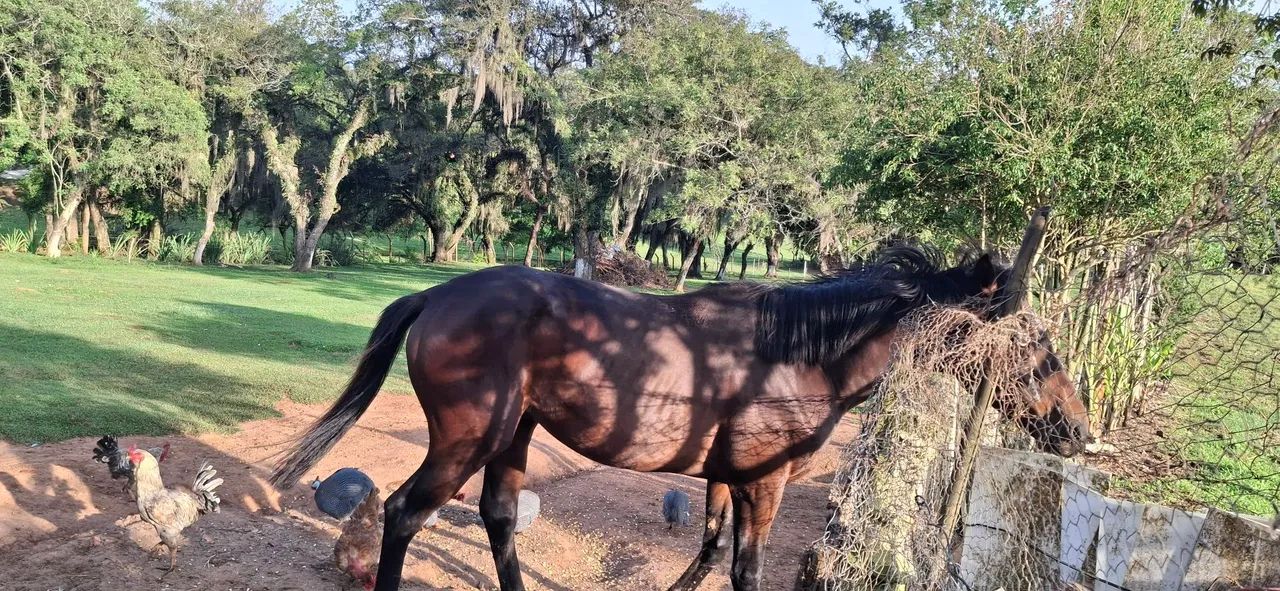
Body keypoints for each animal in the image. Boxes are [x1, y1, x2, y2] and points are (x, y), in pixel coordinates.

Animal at [269, 245, 1091, 591]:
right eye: (1036, 342)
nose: (1079, 429)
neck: (799, 352)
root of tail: (436, 295)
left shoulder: (725, 477)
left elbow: (705, 552)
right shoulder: (763, 481)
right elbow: (742, 567)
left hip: (514, 436)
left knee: (498, 519)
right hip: (468, 439)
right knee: (405, 513)